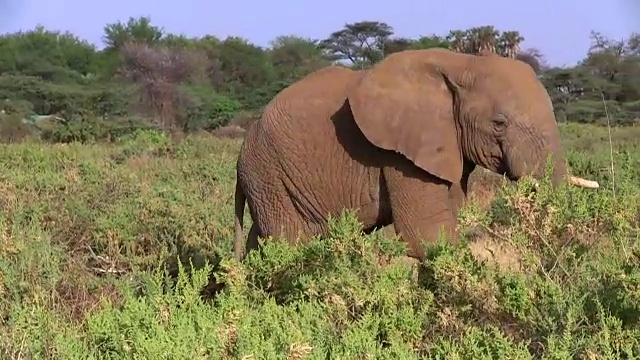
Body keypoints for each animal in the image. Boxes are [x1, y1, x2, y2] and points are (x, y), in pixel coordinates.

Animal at [231, 47, 600, 262]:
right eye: (499, 123)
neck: (462, 63)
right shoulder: (400, 153)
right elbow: (428, 235)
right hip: (269, 175)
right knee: (288, 243)